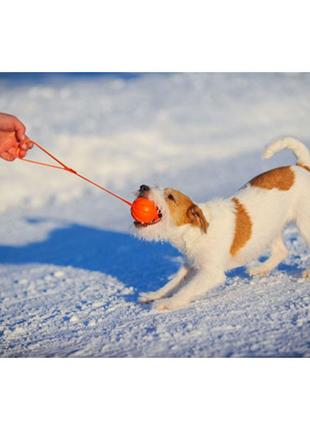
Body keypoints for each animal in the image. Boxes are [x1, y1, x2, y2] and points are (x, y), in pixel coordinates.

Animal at [133, 136, 310, 310]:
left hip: (304, 224)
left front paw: (167, 303)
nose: (143, 187)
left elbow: (186, 290)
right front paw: (153, 295)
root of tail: (300, 167)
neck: (195, 231)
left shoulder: (210, 273)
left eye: (170, 197)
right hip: (270, 229)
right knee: (282, 251)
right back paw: (260, 269)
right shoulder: (191, 265)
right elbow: (173, 283)